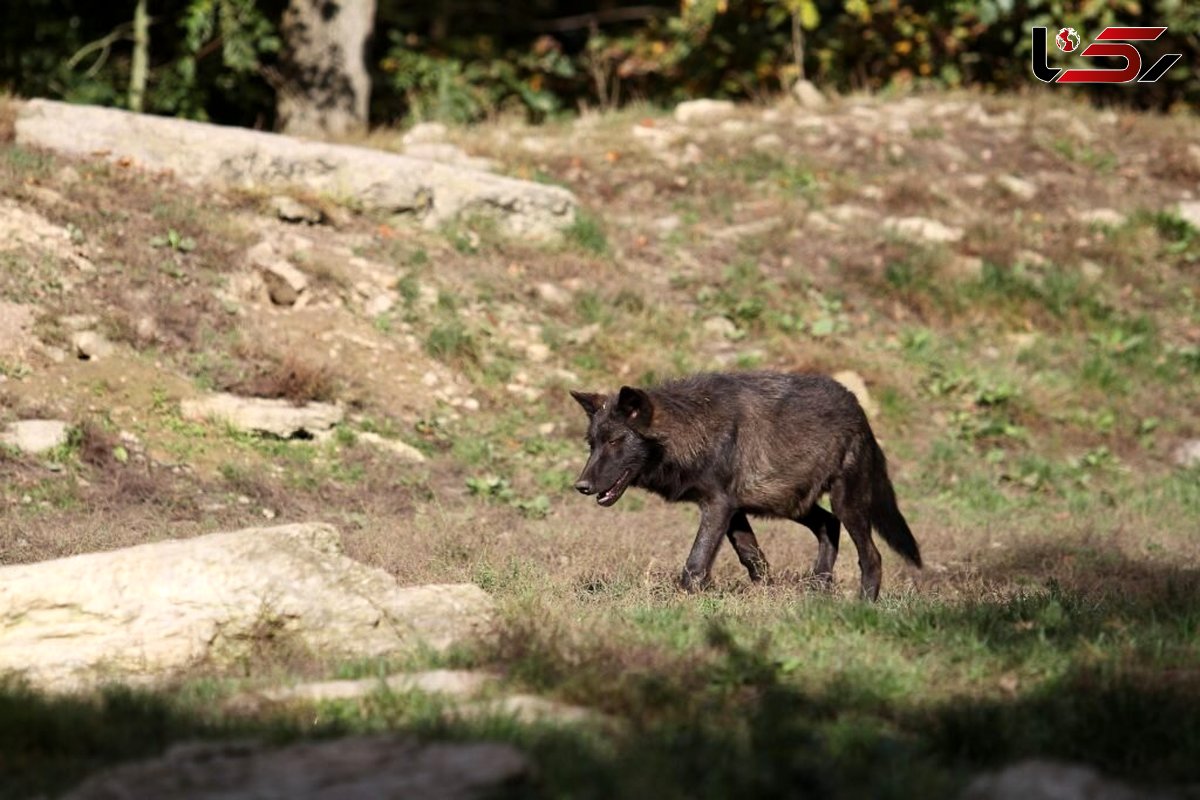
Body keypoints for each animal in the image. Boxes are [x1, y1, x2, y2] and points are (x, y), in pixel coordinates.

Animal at [568, 374, 916, 599]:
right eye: (592, 444)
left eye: (615, 441)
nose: (581, 486)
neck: (695, 427)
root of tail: (857, 407)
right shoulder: (733, 510)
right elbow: (753, 558)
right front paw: (765, 594)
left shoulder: (718, 506)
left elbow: (696, 562)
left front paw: (684, 600)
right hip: (791, 504)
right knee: (828, 525)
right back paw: (819, 588)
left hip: (845, 504)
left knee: (872, 556)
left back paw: (863, 604)